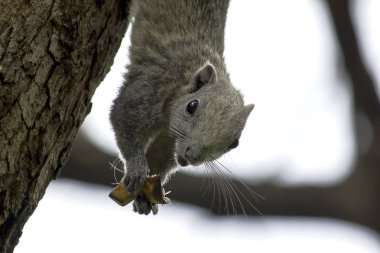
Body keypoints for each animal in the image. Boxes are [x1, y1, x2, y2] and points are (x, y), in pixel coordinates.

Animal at [108, 0, 254, 215]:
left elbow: (159, 157)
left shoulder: (168, 141)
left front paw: (145, 196)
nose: (191, 157)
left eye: (234, 144)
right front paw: (136, 168)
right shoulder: (149, 89)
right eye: (192, 106)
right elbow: (123, 119)